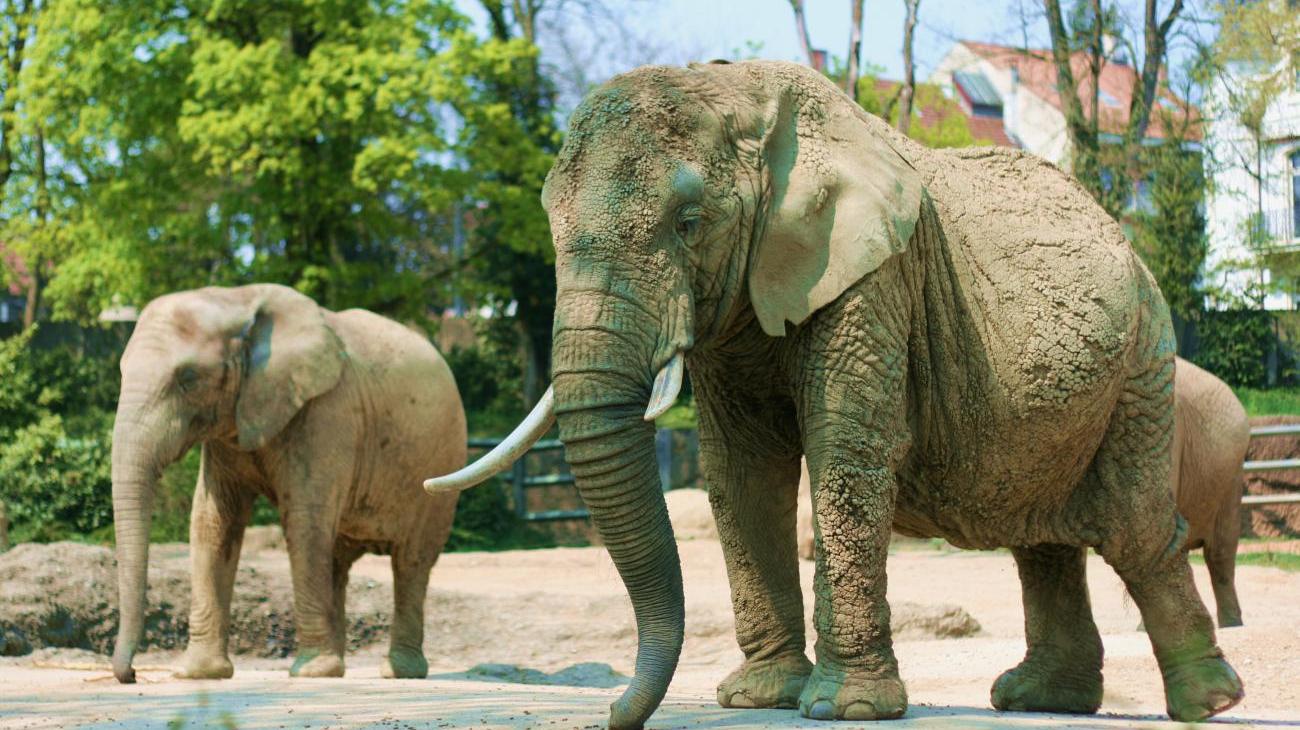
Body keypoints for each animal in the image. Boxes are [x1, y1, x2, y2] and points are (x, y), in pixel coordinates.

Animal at [110, 283, 467, 680]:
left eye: (187, 378)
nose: (132, 674)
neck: (236, 299)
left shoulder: (325, 411)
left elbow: (304, 521)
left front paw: (310, 673)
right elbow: (212, 522)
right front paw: (197, 673)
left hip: (443, 460)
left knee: (410, 561)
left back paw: (394, 672)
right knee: (337, 560)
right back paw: (339, 664)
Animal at [423, 59, 1237, 722]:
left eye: (689, 223)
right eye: (549, 225)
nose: (614, 710)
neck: (739, 98)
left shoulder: (872, 275)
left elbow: (844, 451)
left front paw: (847, 709)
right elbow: (741, 472)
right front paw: (760, 698)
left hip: (1143, 360)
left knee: (1132, 525)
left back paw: (1206, 702)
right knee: (1041, 537)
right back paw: (1041, 700)